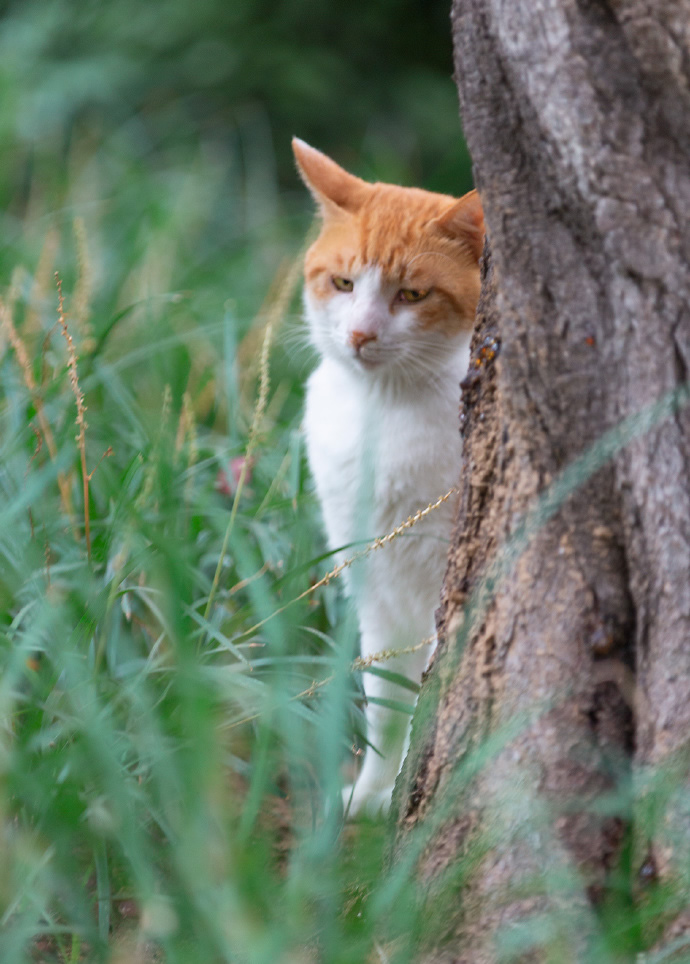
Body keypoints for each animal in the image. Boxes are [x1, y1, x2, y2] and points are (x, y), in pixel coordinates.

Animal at [292, 139, 484, 816]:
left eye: (413, 295)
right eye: (344, 283)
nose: (359, 333)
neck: (381, 413)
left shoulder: (438, 590)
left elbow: (424, 699)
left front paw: (403, 796)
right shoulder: (372, 585)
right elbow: (388, 699)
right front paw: (373, 795)